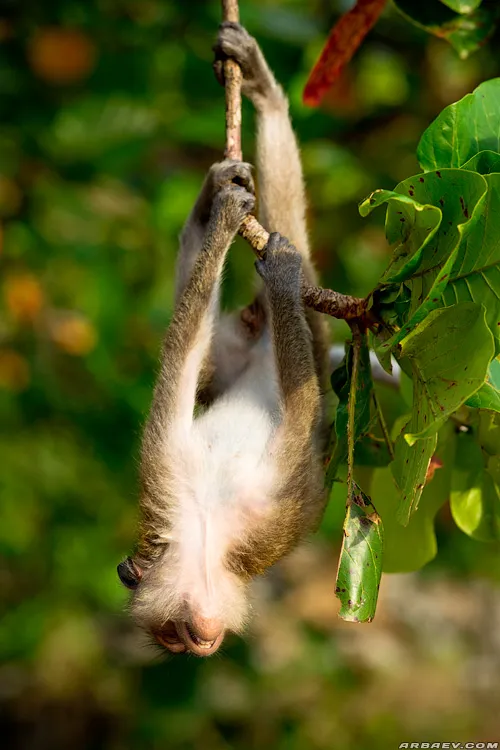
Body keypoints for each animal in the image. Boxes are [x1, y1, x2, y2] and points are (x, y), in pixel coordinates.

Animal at [117, 23, 329, 656]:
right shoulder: (166, 472)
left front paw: (224, 220)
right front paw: (218, 222)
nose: (203, 642)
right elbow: (189, 345)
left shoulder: (188, 484)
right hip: (238, 352)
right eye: (177, 637)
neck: (207, 521)